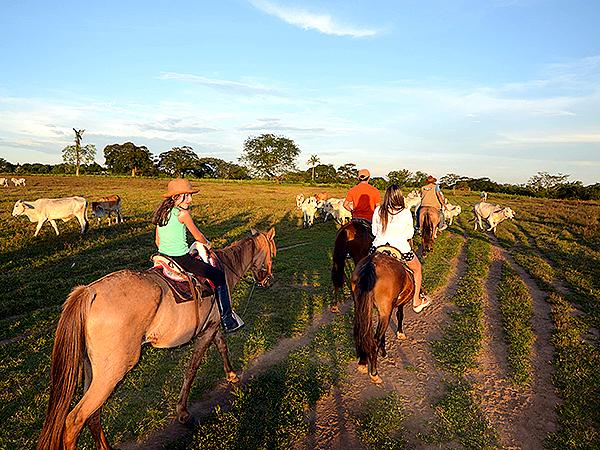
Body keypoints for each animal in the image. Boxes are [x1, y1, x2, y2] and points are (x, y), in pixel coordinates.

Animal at [38, 229, 278, 450]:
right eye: (272, 253)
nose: (269, 280)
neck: (224, 269)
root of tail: (89, 292)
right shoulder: (208, 330)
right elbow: (193, 368)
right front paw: (183, 412)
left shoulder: (213, 326)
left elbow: (222, 346)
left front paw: (231, 374)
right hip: (112, 372)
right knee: (75, 419)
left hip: (93, 369)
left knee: (93, 416)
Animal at [354, 250, 414, 384]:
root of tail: (371, 264)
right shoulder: (394, 307)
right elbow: (400, 315)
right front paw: (400, 333)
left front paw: (384, 352)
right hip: (384, 311)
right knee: (375, 340)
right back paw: (374, 373)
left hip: (361, 306)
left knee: (362, 331)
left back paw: (363, 362)